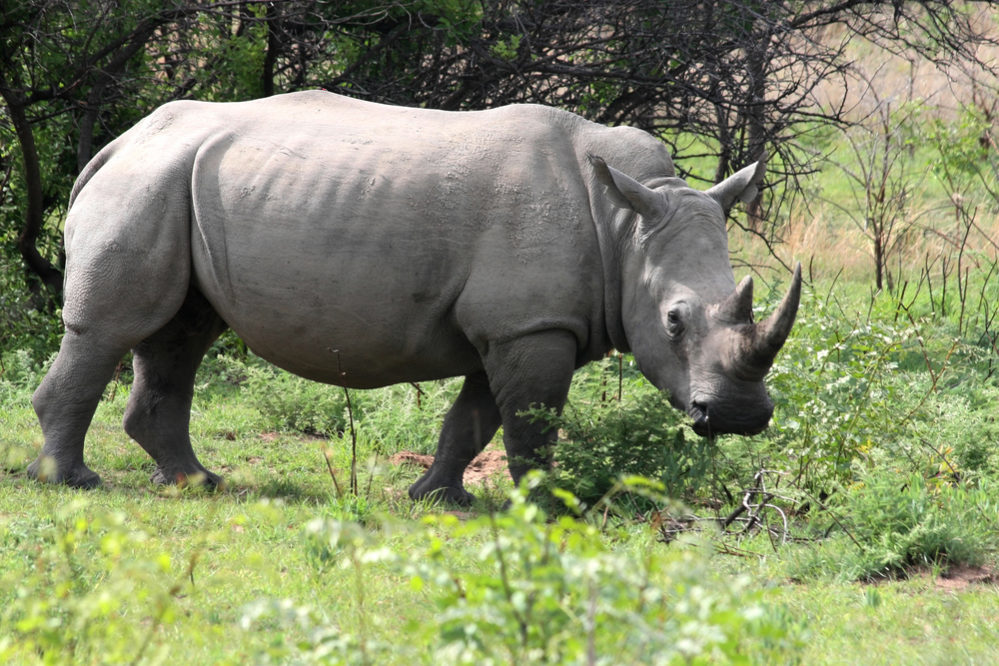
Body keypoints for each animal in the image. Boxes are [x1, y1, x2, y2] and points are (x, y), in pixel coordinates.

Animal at [27, 89, 800, 504]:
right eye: (672, 321)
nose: (738, 417)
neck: (627, 225)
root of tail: (120, 142)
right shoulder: (532, 326)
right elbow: (532, 419)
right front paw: (545, 509)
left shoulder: (517, 326)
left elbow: (475, 418)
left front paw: (439, 499)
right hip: (148, 184)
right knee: (114, 330)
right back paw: (76, 483)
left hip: (176, 184)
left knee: (183, 334)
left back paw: (198, 483)